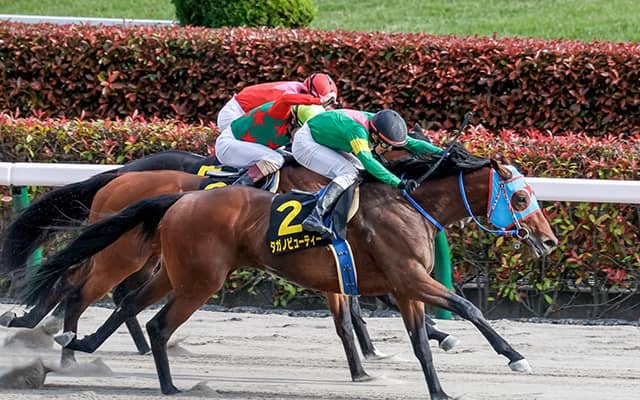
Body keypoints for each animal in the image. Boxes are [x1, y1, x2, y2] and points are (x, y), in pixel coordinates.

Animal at [21, 145, 558, 398]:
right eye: (521, 198)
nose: (550, 240)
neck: (408, 204)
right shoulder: (407, 279)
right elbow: (467, 307)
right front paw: (514, 356)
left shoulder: (395, 286)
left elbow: (411, 340)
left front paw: (430, 384)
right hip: (181, 273)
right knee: (102, 299)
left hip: (173, 270)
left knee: (129, 302)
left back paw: (82, 347)